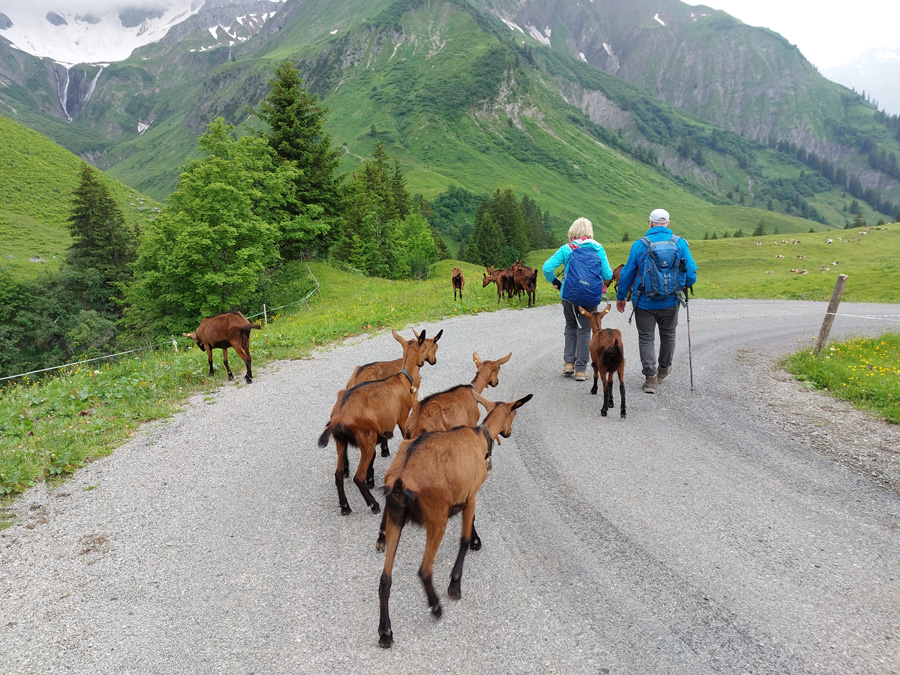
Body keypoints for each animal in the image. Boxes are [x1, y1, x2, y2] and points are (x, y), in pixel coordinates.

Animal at [318, 330, 428, 516]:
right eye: (424, 346)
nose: (424, 363)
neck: (401, 379)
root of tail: (338, 417)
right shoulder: (402, 418)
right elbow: (406, 439)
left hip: (341, 441)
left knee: (338, 475)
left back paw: (345, 506)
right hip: (366, 440)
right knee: (358, 477)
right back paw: (373, 504)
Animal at [374, 396, 532, 648]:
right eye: (514, 413)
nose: (508, 433)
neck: (481, 436)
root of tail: (401, 478)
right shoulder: (472, 495)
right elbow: (464, 538)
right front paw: (456, 583)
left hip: (396, 518)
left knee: (385, 579)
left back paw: (385, 632)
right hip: (436, 517)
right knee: (425, 569)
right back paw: (436, 607)